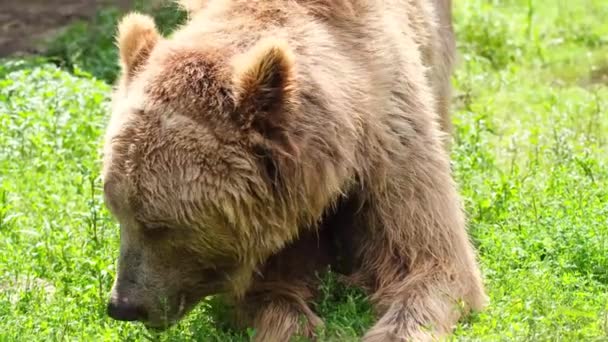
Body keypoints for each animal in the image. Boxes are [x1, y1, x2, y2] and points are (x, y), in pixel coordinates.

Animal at [102, 1, 486, 340]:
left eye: (158, 225)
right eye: (118, 213)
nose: (123, 305)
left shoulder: (390, 147)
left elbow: (432, 263)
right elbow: (270, 291)